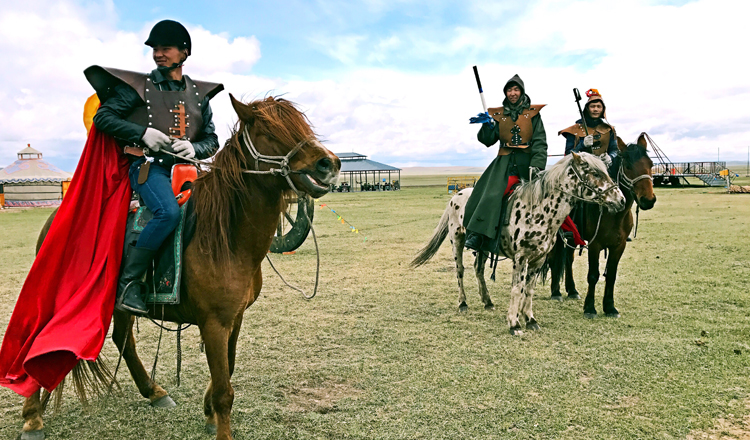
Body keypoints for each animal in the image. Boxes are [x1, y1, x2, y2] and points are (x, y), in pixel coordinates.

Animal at [18, 95, 340, 440]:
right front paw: (219, 423)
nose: (329, 164)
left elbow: (227, 369)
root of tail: (55, 220)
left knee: (122, 340)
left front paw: (208, 411)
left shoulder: (234, 318)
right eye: (269, 131)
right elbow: (225, 390)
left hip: (118, 306)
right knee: (33, 343)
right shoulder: (214, 323)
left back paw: (154, 392)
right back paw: (32, 418)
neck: (226, 237)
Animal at [412, 153, 628, 336]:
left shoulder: (538, 259)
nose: (621, 200)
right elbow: (517, 288)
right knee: (460, 271)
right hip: (457, 240)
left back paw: (487, 301)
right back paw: (463, 303)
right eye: (595, 173)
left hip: (483, 248)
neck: (539, 210)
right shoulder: (521, 258)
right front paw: (514, 323)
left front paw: (530, 320)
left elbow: (529, 290)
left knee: (478, 269)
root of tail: (458, 194)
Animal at [548, 132, 656, 318]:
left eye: (651, 164)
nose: (648, 200)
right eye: (628, 165)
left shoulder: (619, 246)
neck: (614, 213)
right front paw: (590, 308)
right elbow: (593, 275)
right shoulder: (595, 245)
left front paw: (610, 307)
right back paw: (556, 292)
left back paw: (572, 290)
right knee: (556, 257)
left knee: (568, 259)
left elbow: (611, 275)